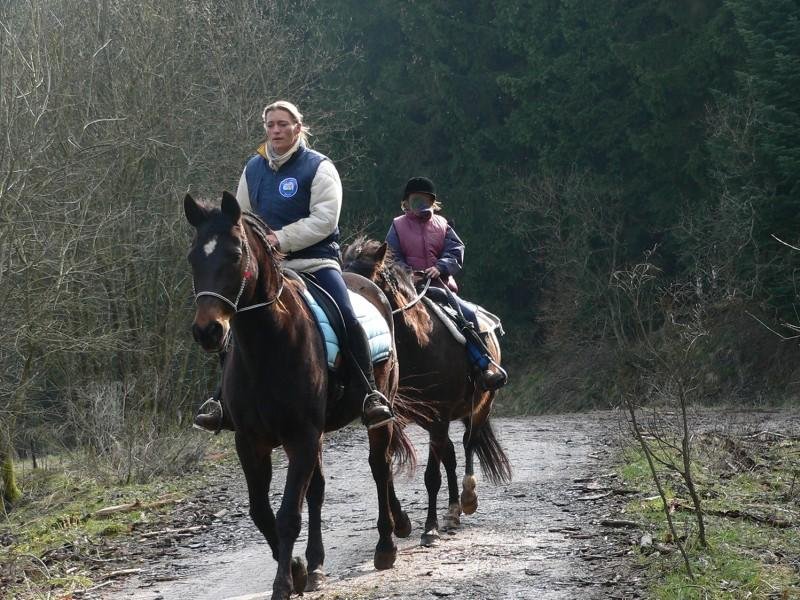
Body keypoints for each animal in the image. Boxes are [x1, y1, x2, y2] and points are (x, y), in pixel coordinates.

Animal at [185, 195, 416, 596]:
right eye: (193, 256)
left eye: (235, 253)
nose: (208, 331)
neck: (266, 347)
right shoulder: (251, 442)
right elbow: (262, 512)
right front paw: (296, 568)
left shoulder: (301, 436)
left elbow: (289, 514)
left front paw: (283, 584)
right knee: (320, 490)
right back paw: (317, 563)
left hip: (376, 414)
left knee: (379, 467)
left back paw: (386, 545)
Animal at [340, 237, 510, 548]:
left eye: (363, 283)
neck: (419, 344)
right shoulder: (393, 418)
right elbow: (386, 466)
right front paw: (401, 522)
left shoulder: (440, 415)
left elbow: (431, 476)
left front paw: (429, 528)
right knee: (451, 454)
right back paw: (453, 511)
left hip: (480, 406)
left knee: (468, 443)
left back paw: (467, 498)